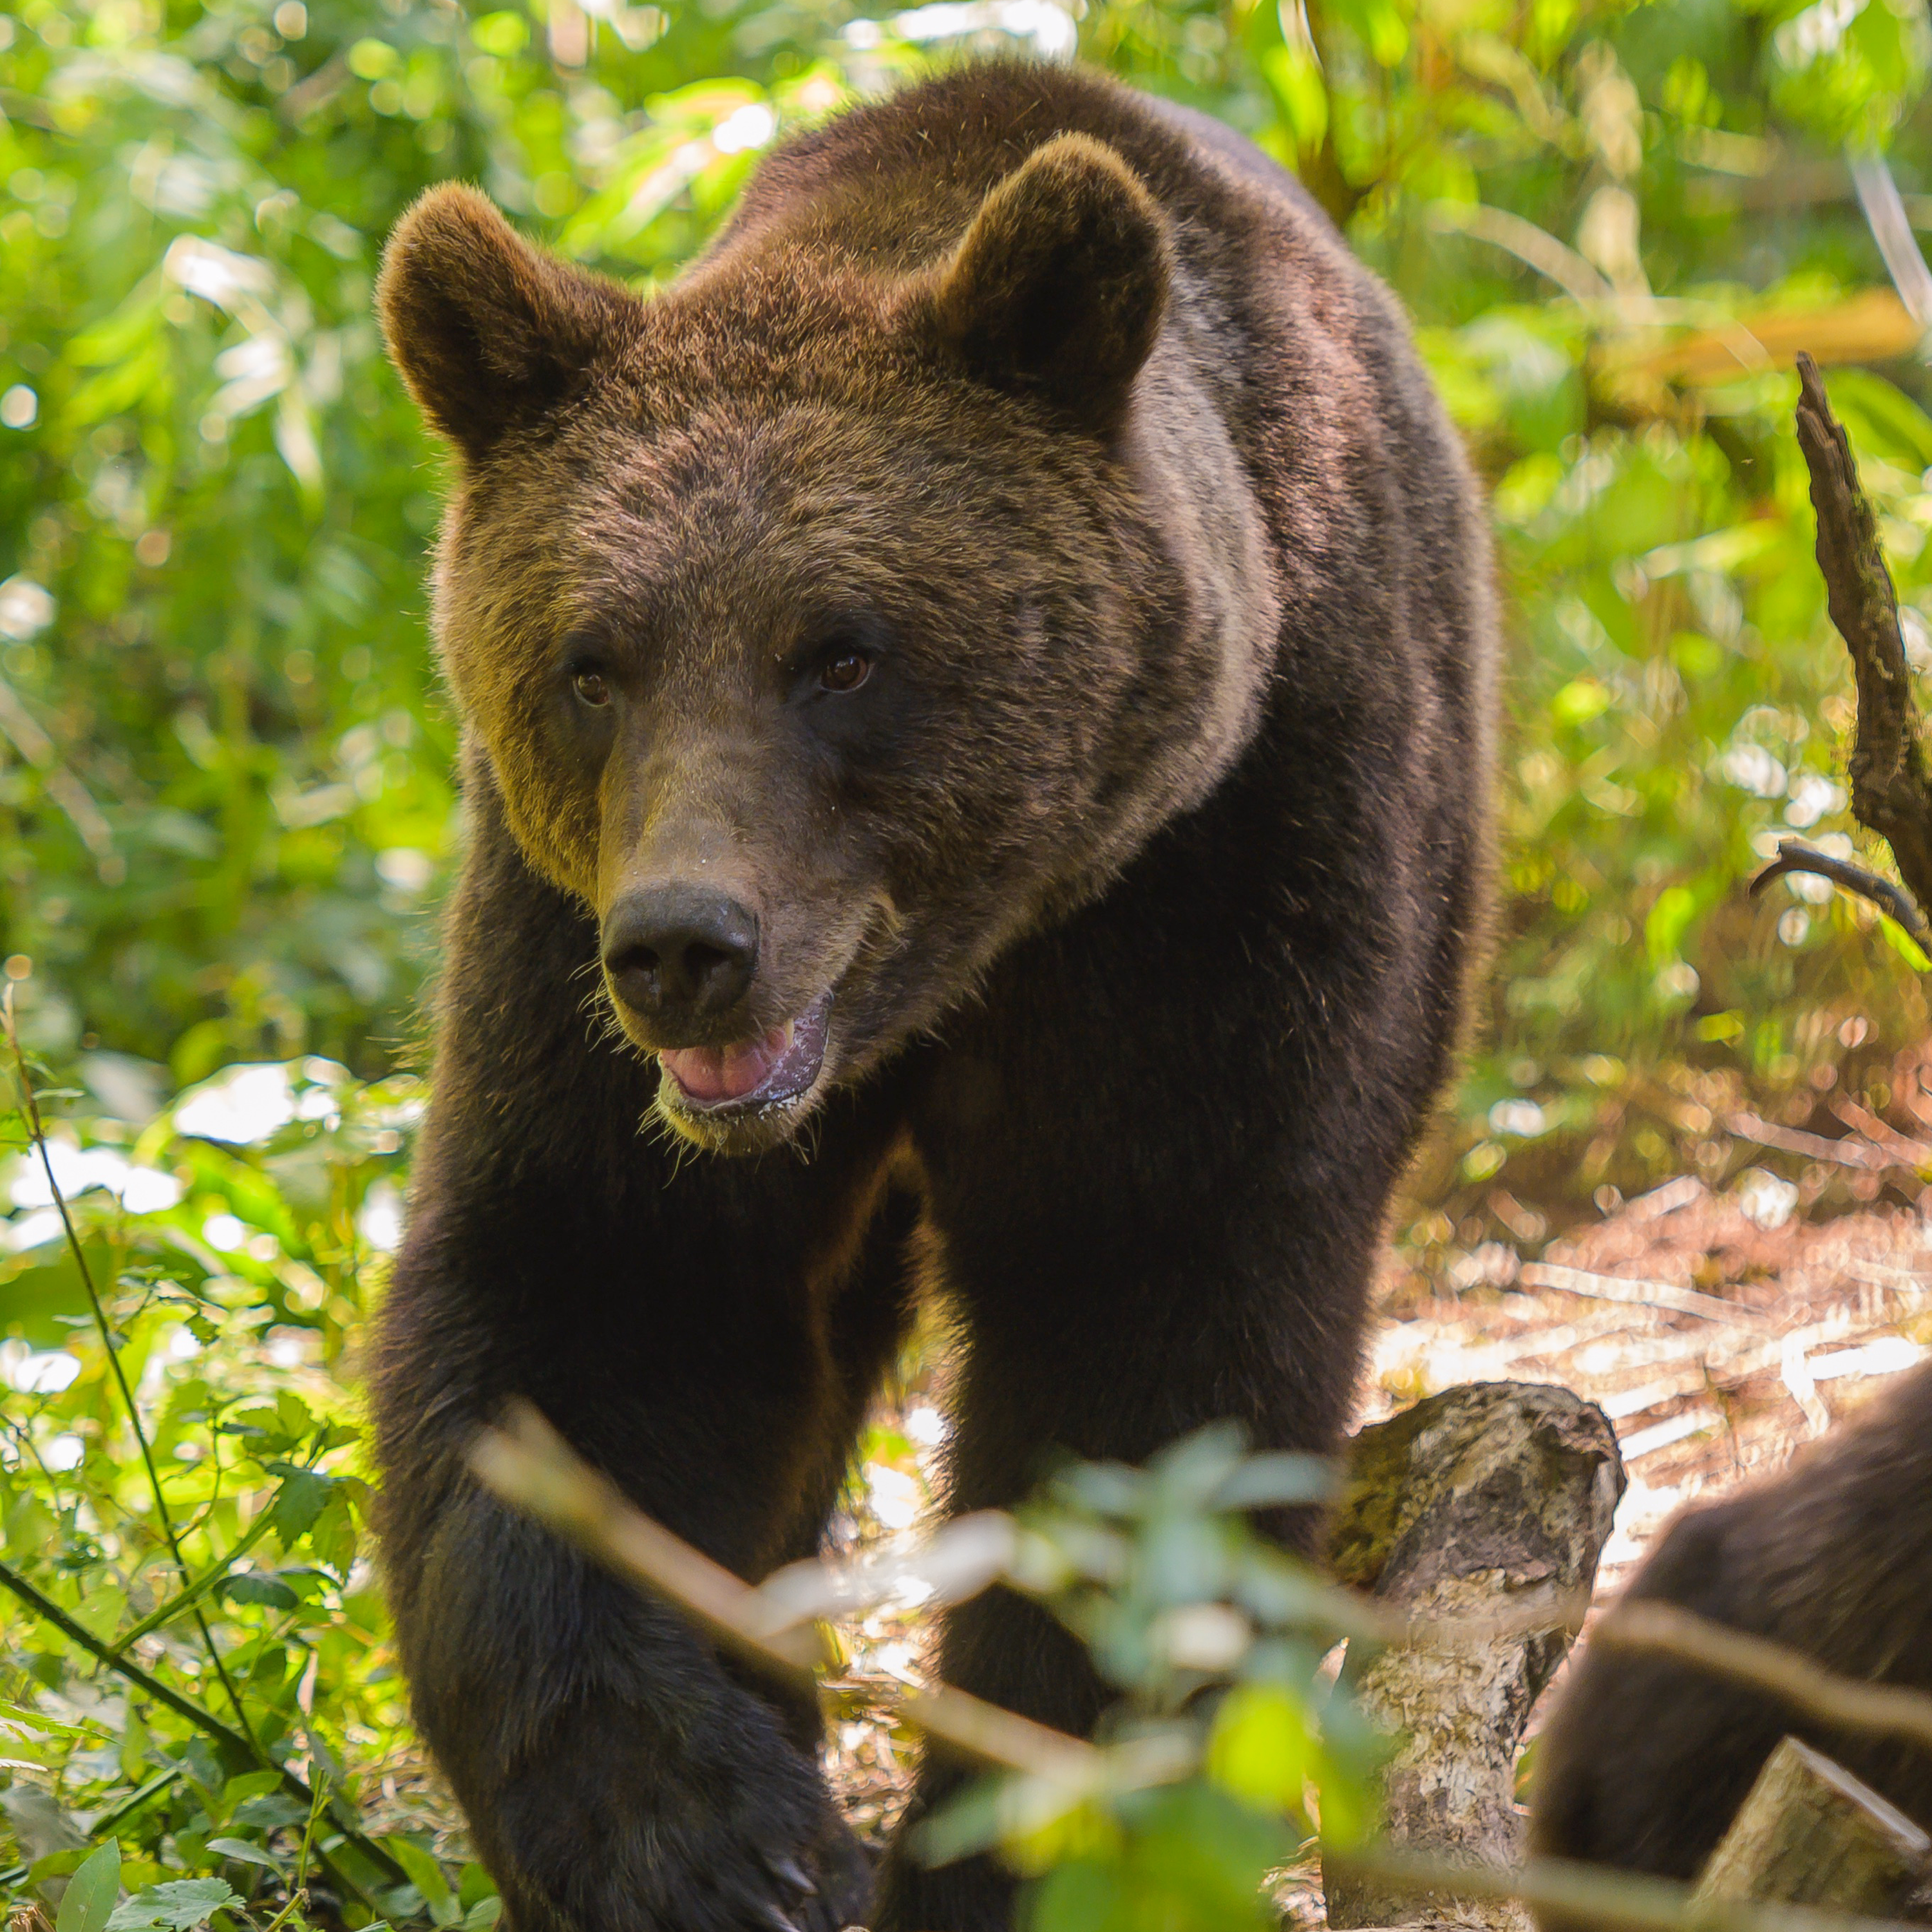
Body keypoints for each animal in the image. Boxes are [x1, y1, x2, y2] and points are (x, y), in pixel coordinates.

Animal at [369, 58, 1496, 1932]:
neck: (959, 972)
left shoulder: (1225, 886)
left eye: (842, 652)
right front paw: (719, 1841)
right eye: (591, 666)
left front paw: (1009, 1835)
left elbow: (1151, 1355)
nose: (686, 948)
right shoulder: (553, 958)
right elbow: (591, 1317)